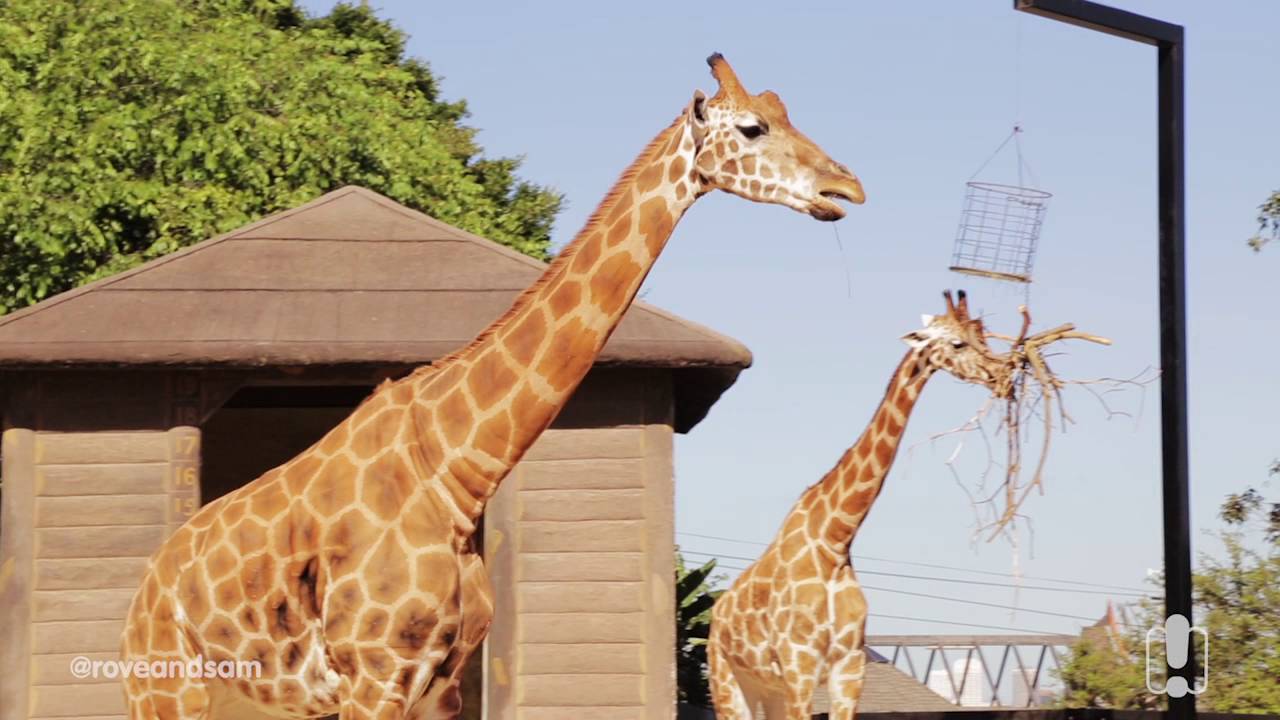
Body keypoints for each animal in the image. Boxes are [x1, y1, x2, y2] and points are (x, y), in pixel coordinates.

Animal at [120, 53, 866, 720]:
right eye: (752, 128)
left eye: (785, 113)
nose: (847, 189)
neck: (454, 473)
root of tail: (144, 593)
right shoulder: (375, 676)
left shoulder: (441, 686)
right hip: (164, 690)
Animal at [707, 291, 1010, 720]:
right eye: (957, 343)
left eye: (982, 336)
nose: (1002, 374)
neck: (834, 539)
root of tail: (716, 617)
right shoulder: (800, 666)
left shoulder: (849, 667)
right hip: (728, 680)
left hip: (769, 690)